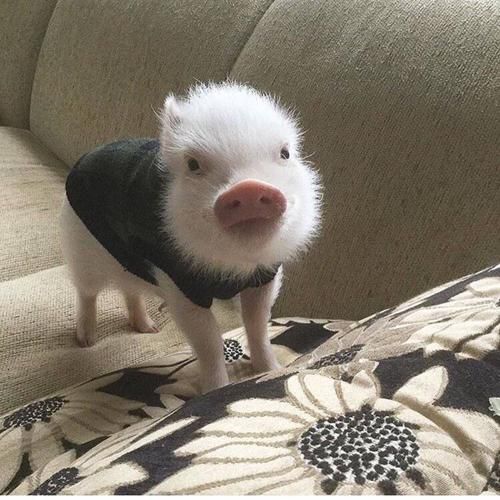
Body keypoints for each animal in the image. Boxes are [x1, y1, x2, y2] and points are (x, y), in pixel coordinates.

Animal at [60, 82, 322, 392]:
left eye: (284, 153)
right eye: (193, 164)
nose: (248, 187)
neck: (233, 268)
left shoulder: (264, 278)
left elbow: (258, 324)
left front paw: (272, 370)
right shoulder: (181, 284)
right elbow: (208, 340)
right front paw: (215, 390)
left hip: (128, 259)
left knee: (130, 290)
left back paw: (149, 328)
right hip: (83, 246)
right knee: (86, 291)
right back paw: (87, 340)